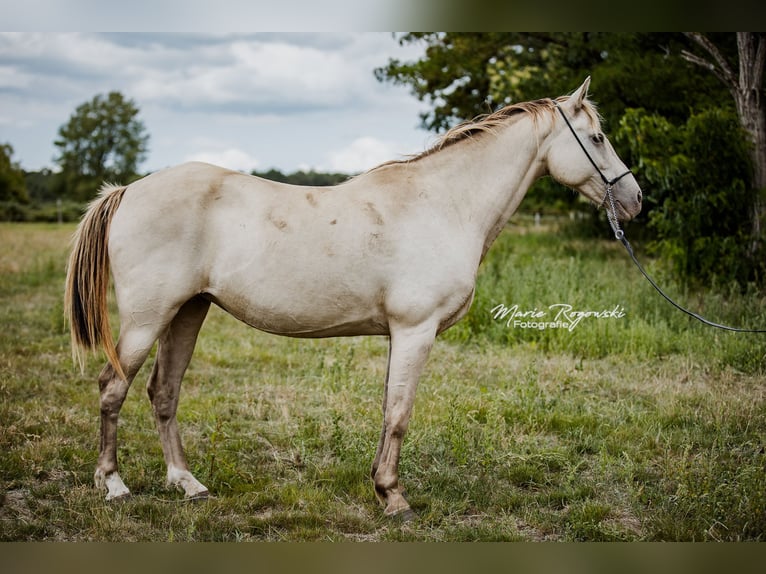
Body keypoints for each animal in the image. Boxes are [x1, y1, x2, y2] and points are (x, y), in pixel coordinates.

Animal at [65, 77, 642, 519]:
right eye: (597, 137)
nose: (635, 199)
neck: (444, 203)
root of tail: (127, 191)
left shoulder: (401, 335)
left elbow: (389, 408)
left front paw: (382, 487)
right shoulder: (414, 330)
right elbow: (400, 412)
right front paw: (394, 498)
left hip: (188, 311)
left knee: (163, 393)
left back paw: (188, 484)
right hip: (148, 318)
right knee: (113, 388)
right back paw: (113, 485)